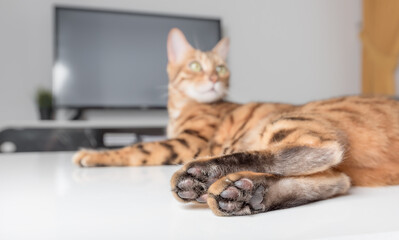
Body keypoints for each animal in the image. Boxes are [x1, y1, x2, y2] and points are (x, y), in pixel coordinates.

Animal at [73, 28, 399, 218]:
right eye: (195, 66)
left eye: (220, 68)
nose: (213, 79)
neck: (181, 106)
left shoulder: (187, 142)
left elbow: (135, 149)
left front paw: (90, 154)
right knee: (337, 179)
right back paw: (249, 194)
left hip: (290, 120)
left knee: (320, 149)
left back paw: (205, 175)